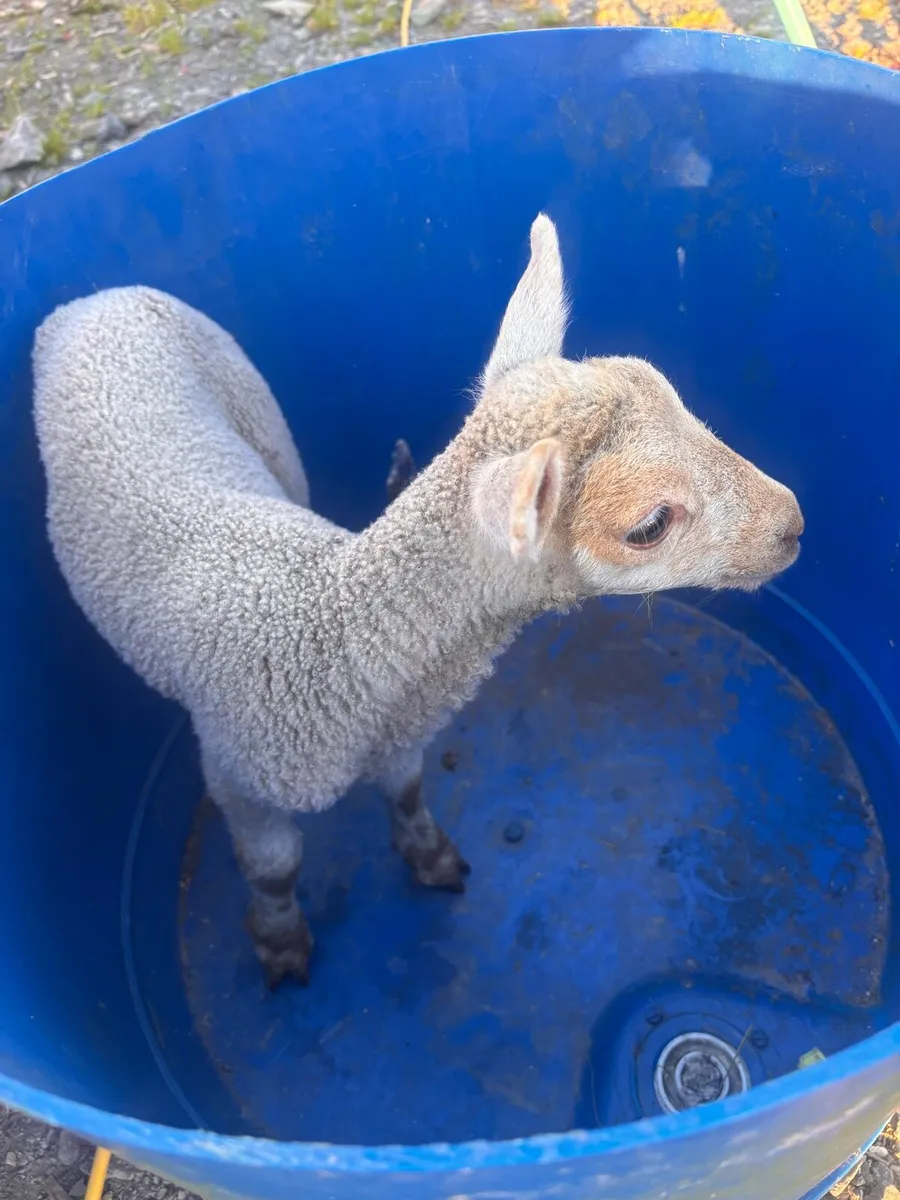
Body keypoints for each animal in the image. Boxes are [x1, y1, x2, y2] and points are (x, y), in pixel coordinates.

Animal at [33, 214, 803, 987]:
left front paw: (430, 856)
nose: (793, 524)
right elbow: (276, 867)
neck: (329, 642)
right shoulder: (237, 777)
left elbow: (406, 791)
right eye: (647, 526)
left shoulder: (400, 733)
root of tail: (101, 299)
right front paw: (280, 942)